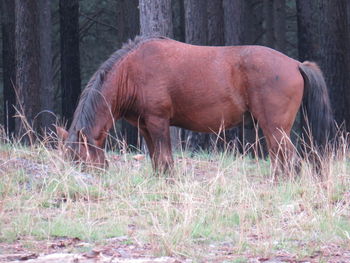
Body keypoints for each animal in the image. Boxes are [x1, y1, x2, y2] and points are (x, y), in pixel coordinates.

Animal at [56, 34, 334, 175]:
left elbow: (165, 159)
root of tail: (295, 64)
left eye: (80, 160)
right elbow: (156, 160)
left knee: (291, 161)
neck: (132, 71)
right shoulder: (145, 126)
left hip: (275, 129)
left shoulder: (158, 122)